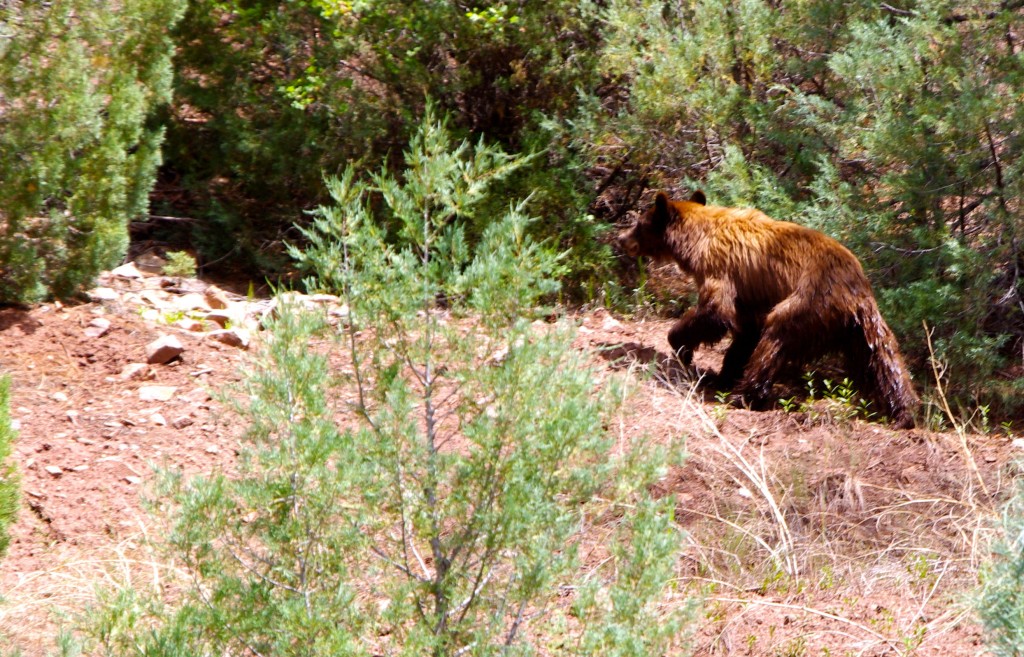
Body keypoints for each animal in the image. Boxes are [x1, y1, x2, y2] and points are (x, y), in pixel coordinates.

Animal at [618, 190, 925, 425]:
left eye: (640, 224)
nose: (621, 238)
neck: (697, 239)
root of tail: (855, 291)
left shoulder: (720, 267)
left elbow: (716, 313)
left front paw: (682, 345)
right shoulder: (749, 293)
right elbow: (745, 331)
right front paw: (724, 372)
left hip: (808, 302)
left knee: (776, 339)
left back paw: (745, 395)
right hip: (859, 327)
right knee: (882, 359)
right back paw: (904, 411)